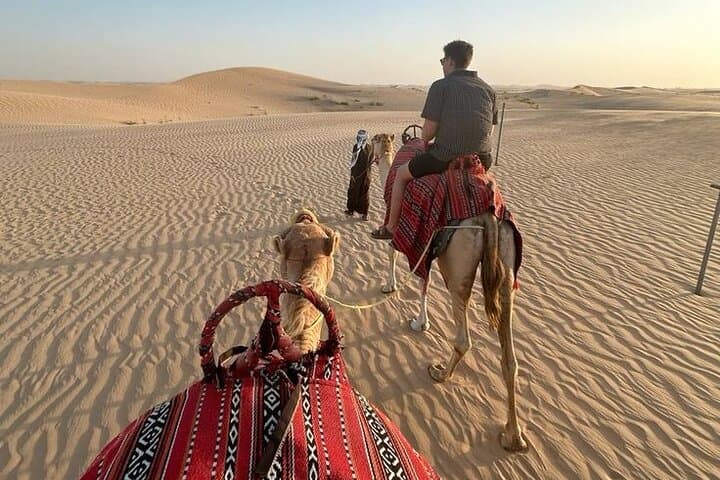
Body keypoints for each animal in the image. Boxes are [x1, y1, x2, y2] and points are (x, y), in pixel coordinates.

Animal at [383, 212, 527, 452]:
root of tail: (491, 220)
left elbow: (394, 251)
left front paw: (392, 290)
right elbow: (423, 277)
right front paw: (422, 322)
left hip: (457, 269)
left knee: (463, 339)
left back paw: (440, 374)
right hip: (506, 267)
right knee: (509, 359)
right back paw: (513, 437)